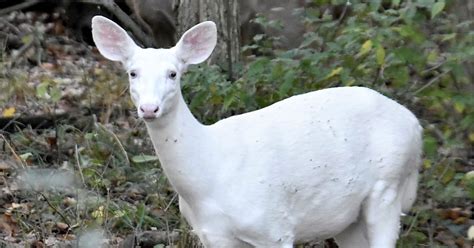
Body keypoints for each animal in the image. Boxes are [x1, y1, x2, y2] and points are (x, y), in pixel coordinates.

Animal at [91, 16, 422, 248]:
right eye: (132, 72)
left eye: (173, 73)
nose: (149, 108)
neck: (208, 176)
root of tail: (415, 126)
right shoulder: (213, 235)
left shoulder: (274, 227)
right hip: (348, 219)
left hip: (387, 187)